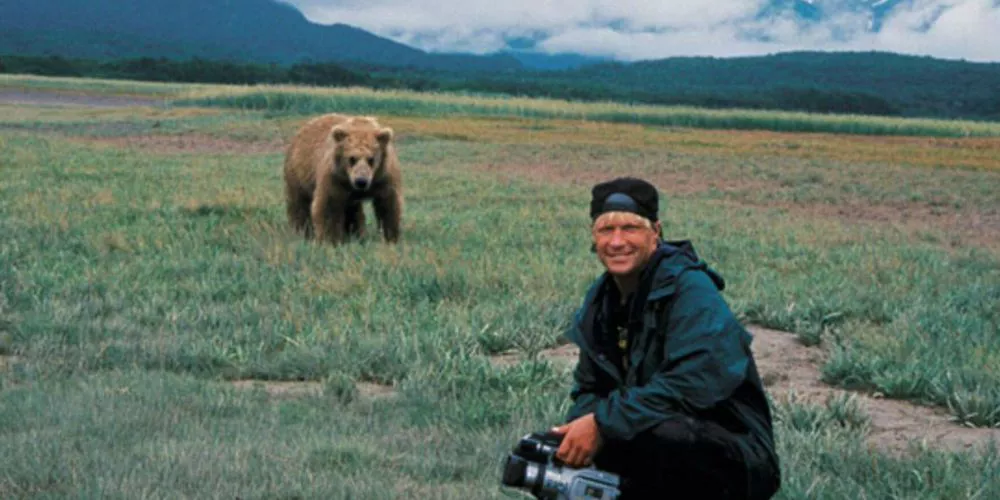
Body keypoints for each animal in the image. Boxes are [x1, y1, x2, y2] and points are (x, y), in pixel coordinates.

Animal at [282, 114, 402, 246]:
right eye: (352, 158)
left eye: (371, 159)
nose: (361, 181)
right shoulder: (335, 178)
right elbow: (329, 206)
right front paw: (330, 240)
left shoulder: (384, 177)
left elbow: (388, 205)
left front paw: (390, 238)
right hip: (298, 174)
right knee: (299, 203)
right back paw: (302, 231)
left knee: (353, 211)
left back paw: (355, 234)